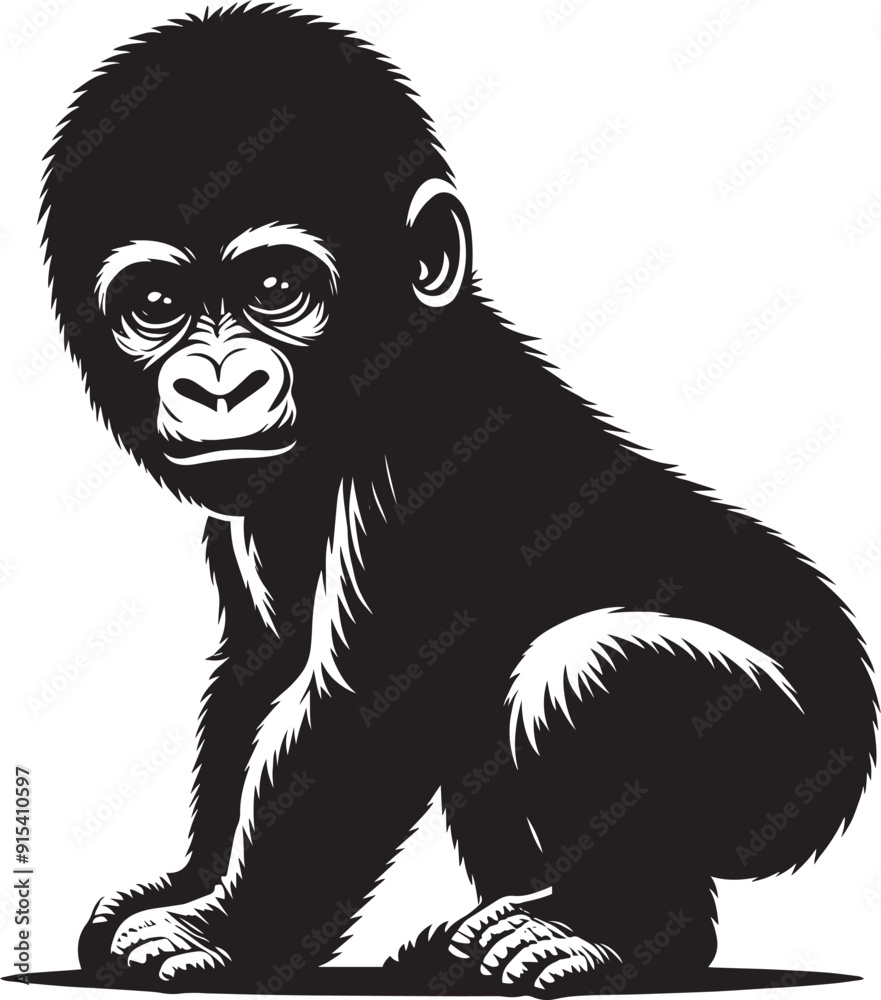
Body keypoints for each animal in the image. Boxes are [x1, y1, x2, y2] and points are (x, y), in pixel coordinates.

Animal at [40, 4, 876, 993]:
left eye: (276, 289)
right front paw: (186, 884)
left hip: (787, 763)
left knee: (590, 669)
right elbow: (259, 671)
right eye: (157, 306)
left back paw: (608, 934)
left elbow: (358, 713)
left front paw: (223, 935)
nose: (215, 384)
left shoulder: (421, 475)